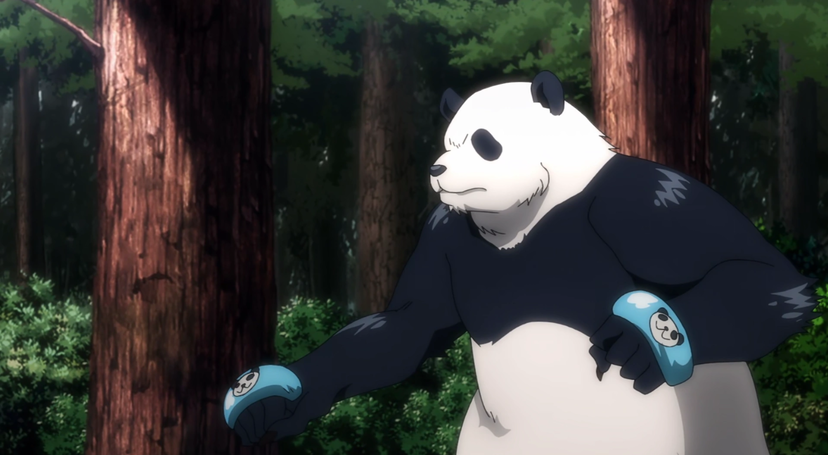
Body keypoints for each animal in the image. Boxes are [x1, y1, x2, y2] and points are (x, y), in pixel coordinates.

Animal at [224, 71, 819, 455]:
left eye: (485, 142)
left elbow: (763, 276)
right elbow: (408, 326)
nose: (437, 169)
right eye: (450, 140)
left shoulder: (634, 204)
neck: (519, 220)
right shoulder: (447, 236)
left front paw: (635, 342)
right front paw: (270, 399)